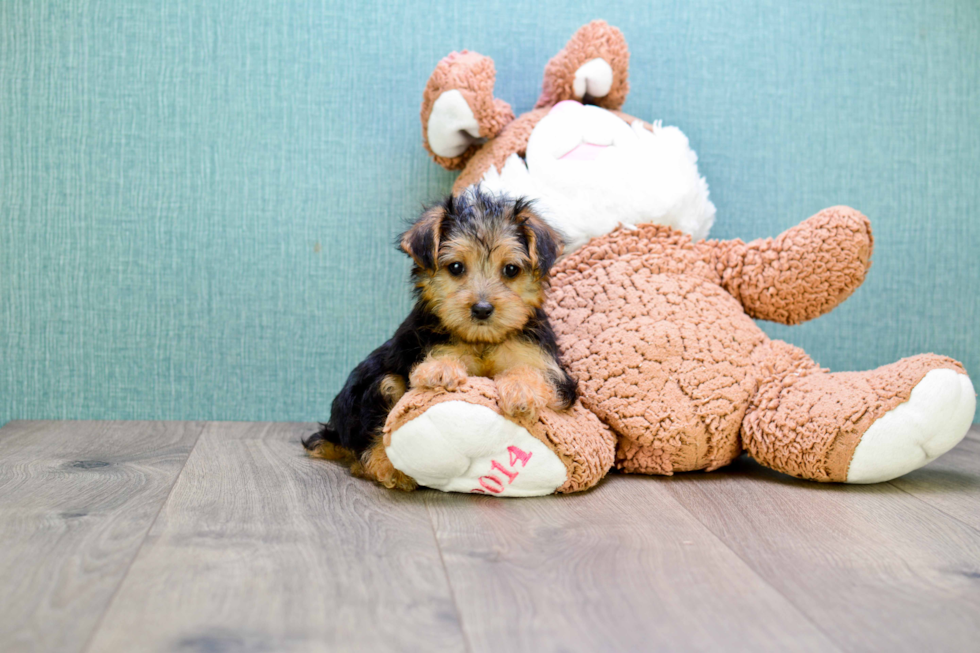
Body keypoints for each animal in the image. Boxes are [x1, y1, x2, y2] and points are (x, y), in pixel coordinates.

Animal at [306, 187, 580, 488]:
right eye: (456, 268)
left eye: (511, 270)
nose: (481, 309)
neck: (481, 340)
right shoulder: (430, 347)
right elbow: (437, 362)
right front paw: (440, 371)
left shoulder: (550, 370)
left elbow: (533, 371)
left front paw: (521, 390)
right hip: (372, 390)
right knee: (371, 432)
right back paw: (388, 468)